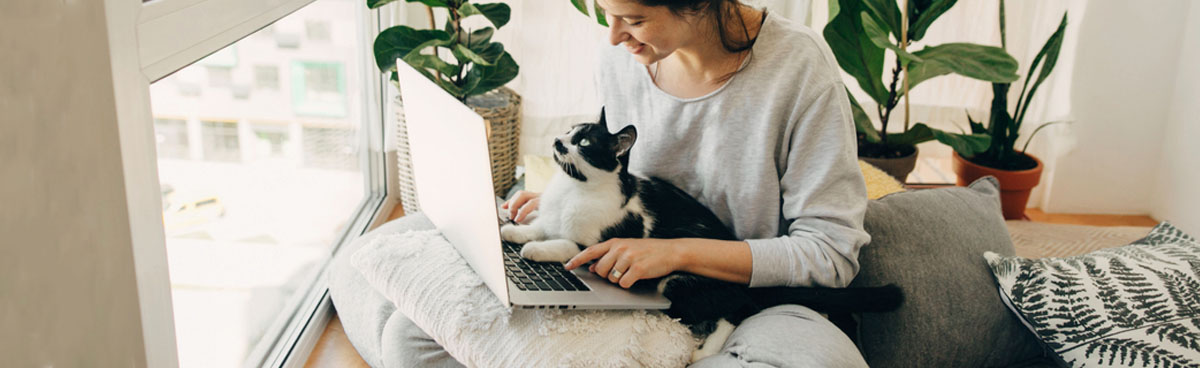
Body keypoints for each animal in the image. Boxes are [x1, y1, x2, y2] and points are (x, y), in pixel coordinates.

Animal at [496, 110, 902, 364]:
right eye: (567, 131)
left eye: (583, 143)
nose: (557, 140)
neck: (572, 188)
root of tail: (747, 285)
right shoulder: (552, 214)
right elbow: (541, 224)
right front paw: (512, 227)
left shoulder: (602, 242)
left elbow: (566, 243)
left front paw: (533, 250)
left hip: (677, 283)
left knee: (735, 313)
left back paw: (705, 352)